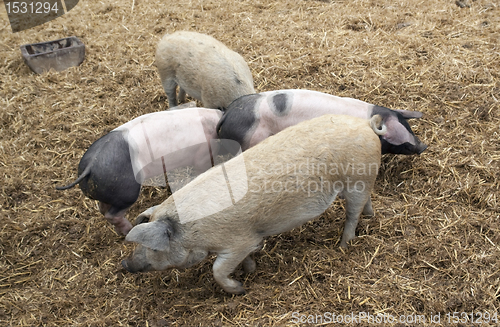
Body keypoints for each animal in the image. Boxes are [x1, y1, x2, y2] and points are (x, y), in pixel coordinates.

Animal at [122, 114, 386, 294]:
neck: (191, 233)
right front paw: (250, 270)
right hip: (360, 183)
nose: (125, 263)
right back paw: (370, 217)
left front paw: (240, 288)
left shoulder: (239, 241)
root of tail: (366, 124)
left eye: (154, 248)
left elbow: (218, 270)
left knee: (352, 215)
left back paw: (343, 245)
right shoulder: (242, 243)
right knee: (366, 202)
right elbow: (243, 259)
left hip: (356, 181)